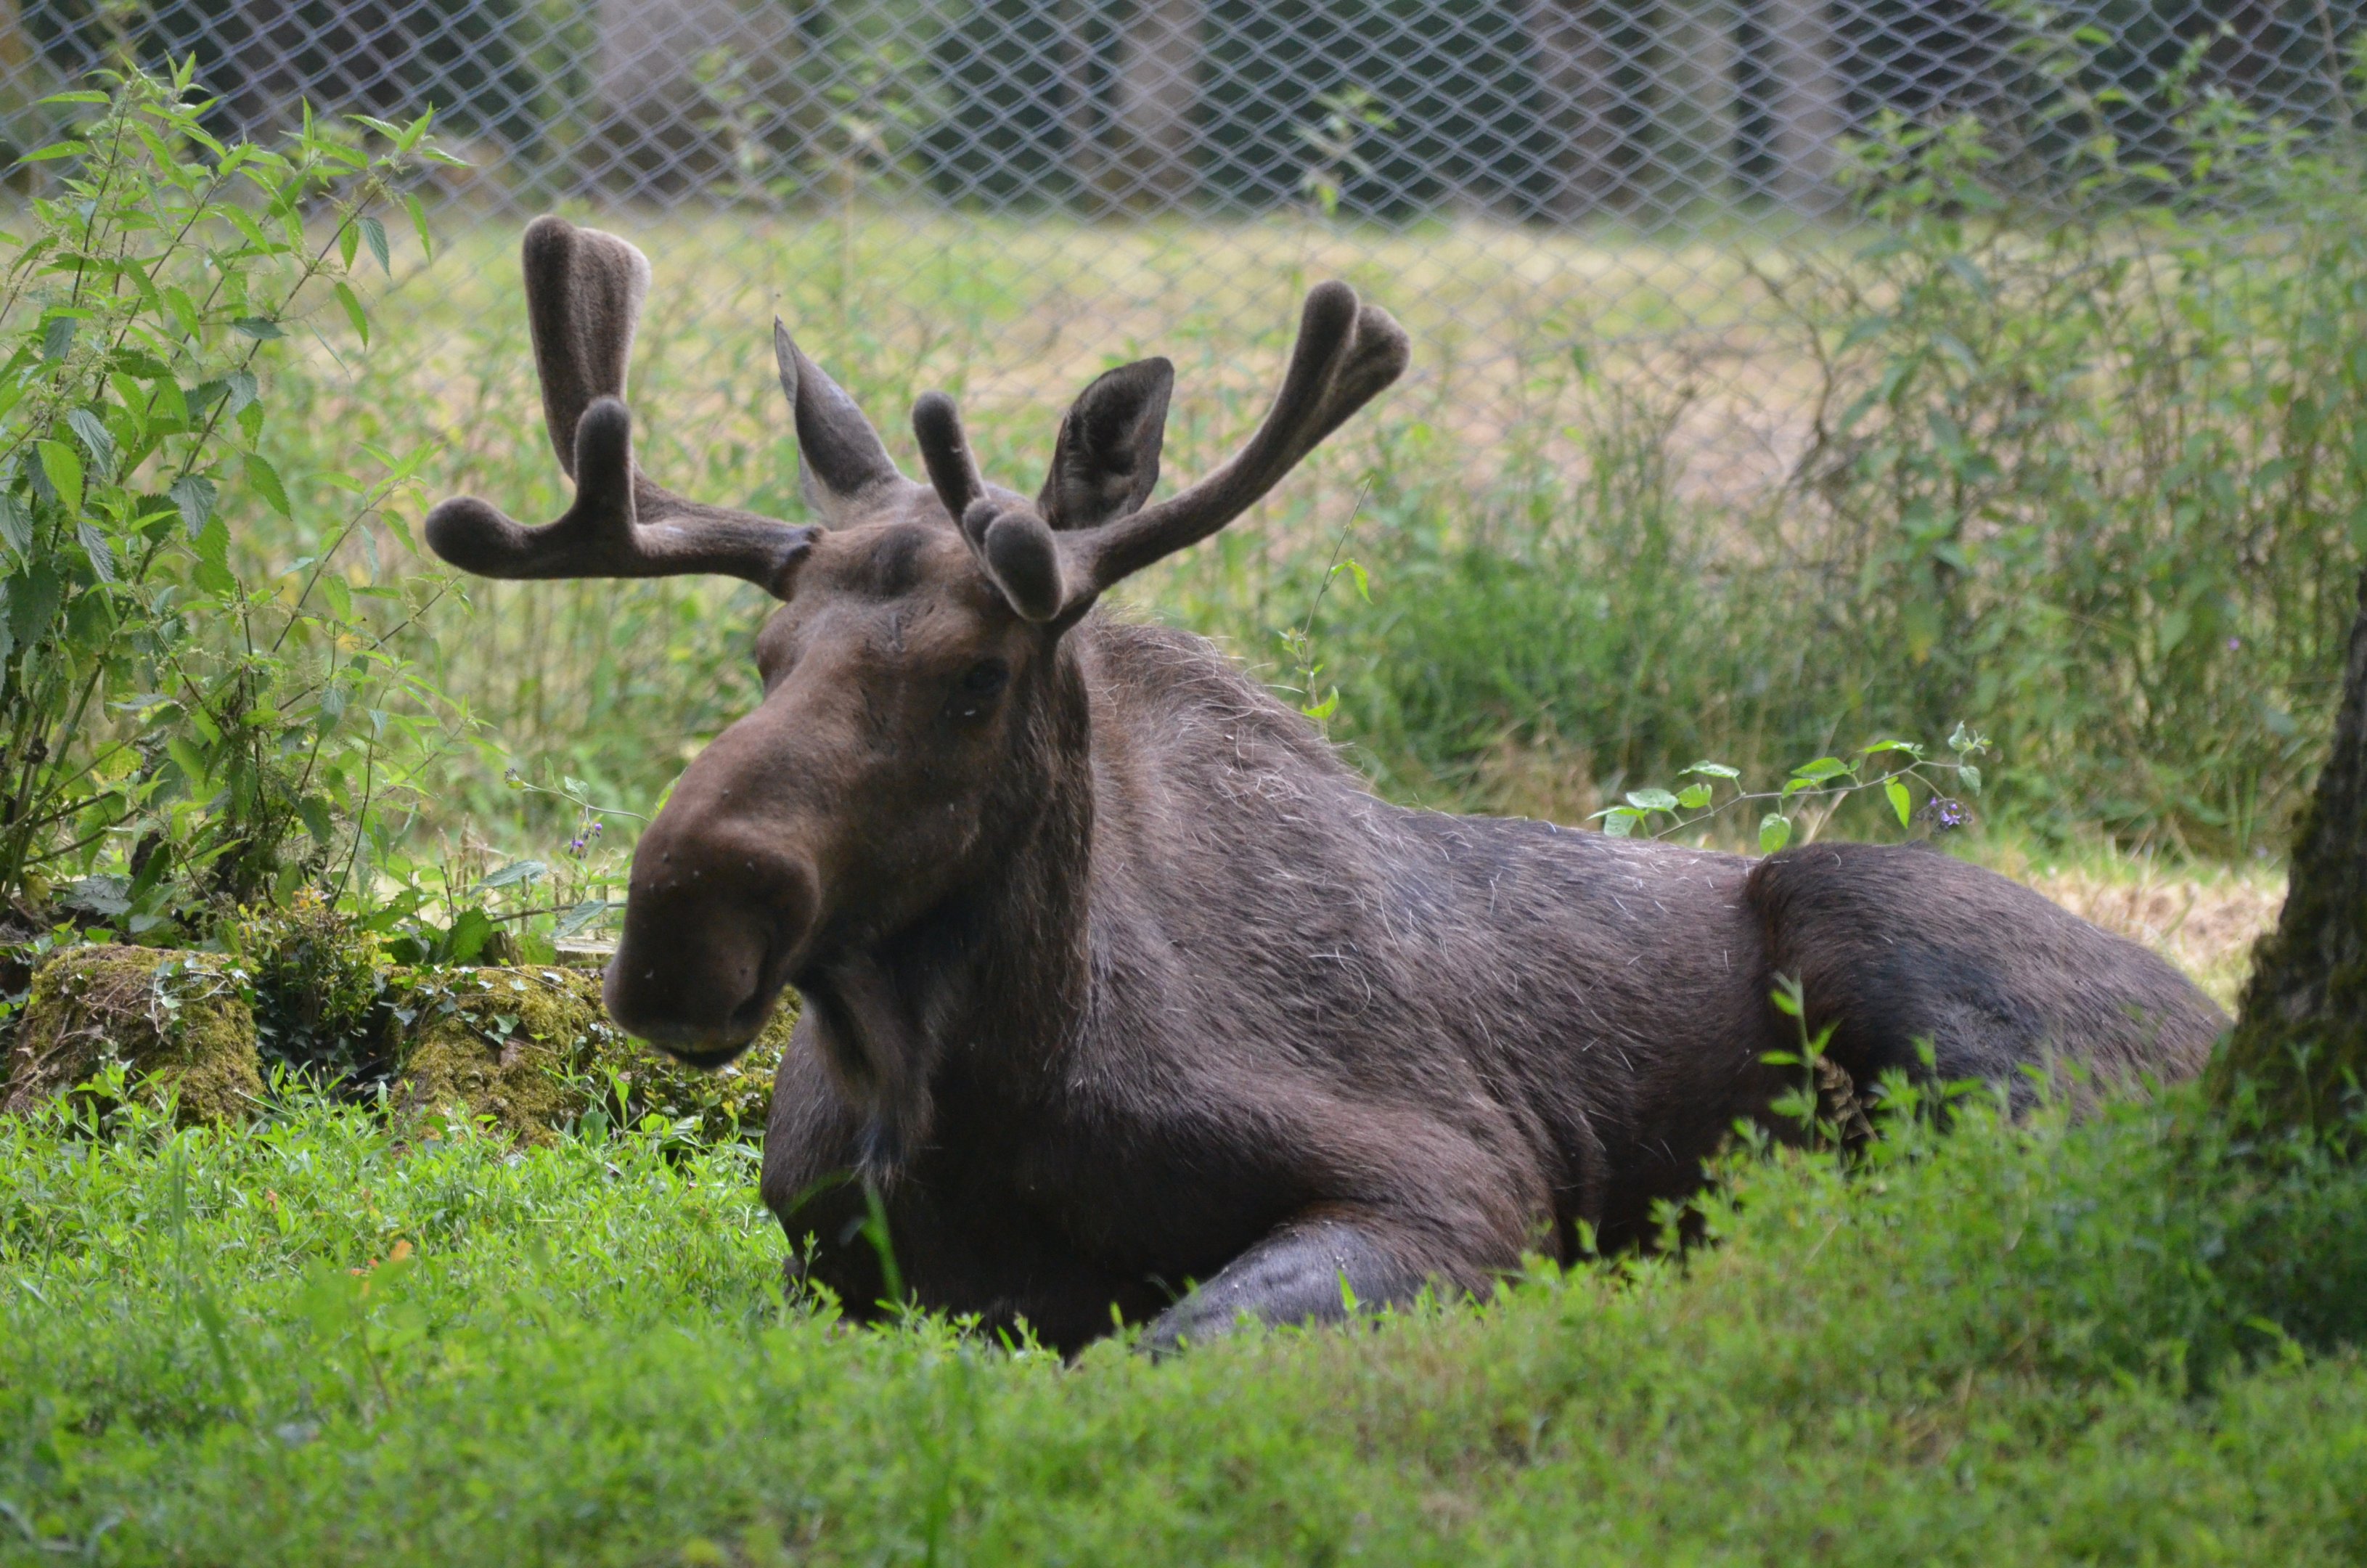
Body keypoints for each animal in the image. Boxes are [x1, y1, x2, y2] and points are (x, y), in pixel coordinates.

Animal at [425, 218, 2229, 1353]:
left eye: (973, 678)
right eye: (763, 656)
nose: (683, 925)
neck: (942, 1096)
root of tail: (2213, 1013)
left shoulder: (1461, 1182)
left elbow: (1160, 1349)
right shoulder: (813, 1265)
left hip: (1886, 926)